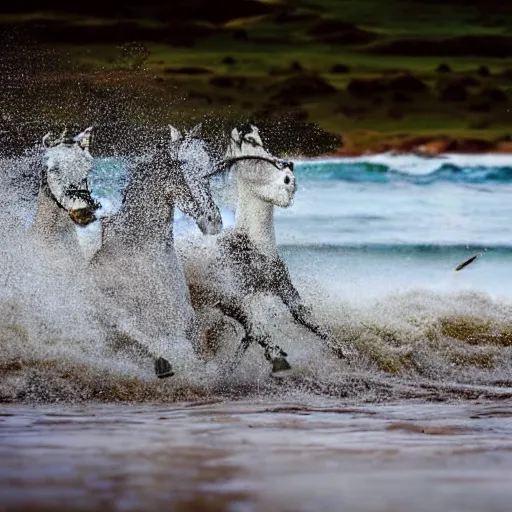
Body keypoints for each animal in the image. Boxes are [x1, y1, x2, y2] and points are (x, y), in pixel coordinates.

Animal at [178, 123, 346, 372]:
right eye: (250, 143)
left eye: (261, 141)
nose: (289, 181)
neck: (254, 249)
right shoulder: (231, 299)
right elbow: (257, 329)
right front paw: (277, 359)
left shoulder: (285, 289)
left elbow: (307, 318)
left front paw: (345, 352)